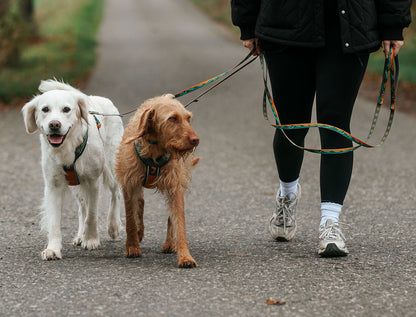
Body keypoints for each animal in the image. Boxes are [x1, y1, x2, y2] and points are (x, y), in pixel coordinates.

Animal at [22, 79, 123, 260]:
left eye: (66, 109)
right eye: (45, 109)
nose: (54, 124)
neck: (68, 147)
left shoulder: (93, 181)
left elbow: (92, 215)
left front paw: (91, 240)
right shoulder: (54, 185)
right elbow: (55, 222)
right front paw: (53, 249)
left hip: (111, 165)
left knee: (115, 193)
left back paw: (113, 226)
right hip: (77, 185)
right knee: (82, 208)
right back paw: (81, 234)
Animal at [115, 93, 200, 266]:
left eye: (188, 118)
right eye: (173, 118)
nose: (196, 139)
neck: (155, 148)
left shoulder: (175, 186)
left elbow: (179, 221)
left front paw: (185, 256)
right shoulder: (129, 184)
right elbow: (130, 219)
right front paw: (132, 246)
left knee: (170, 216)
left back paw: (169, 243)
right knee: (139, 203)